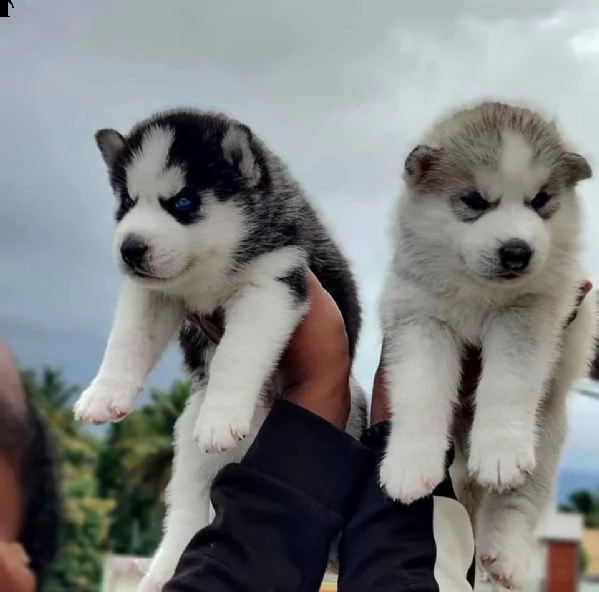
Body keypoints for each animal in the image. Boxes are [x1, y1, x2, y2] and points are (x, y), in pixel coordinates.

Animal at [72, 108, 368, 588]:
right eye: (127, 203)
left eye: (183, 203)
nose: (130, 248)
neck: (206, 271)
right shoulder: (153, 296)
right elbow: (127, 341)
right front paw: (104, 394)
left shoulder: (273, 282)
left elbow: (236, 352)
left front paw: (223, 416)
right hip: (188, 455)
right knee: (187, 516)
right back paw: (161, 570)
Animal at [382, 100, 596, 588]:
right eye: (475, 201)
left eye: (541, 201)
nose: (517, 251)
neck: (479, 293)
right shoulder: (420, 319)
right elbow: (420, 391)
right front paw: (408, 464)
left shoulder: (527, 315)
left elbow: (509, 381)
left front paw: (498, 450)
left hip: (545, 434)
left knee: (518, 501)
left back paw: (507, 554)